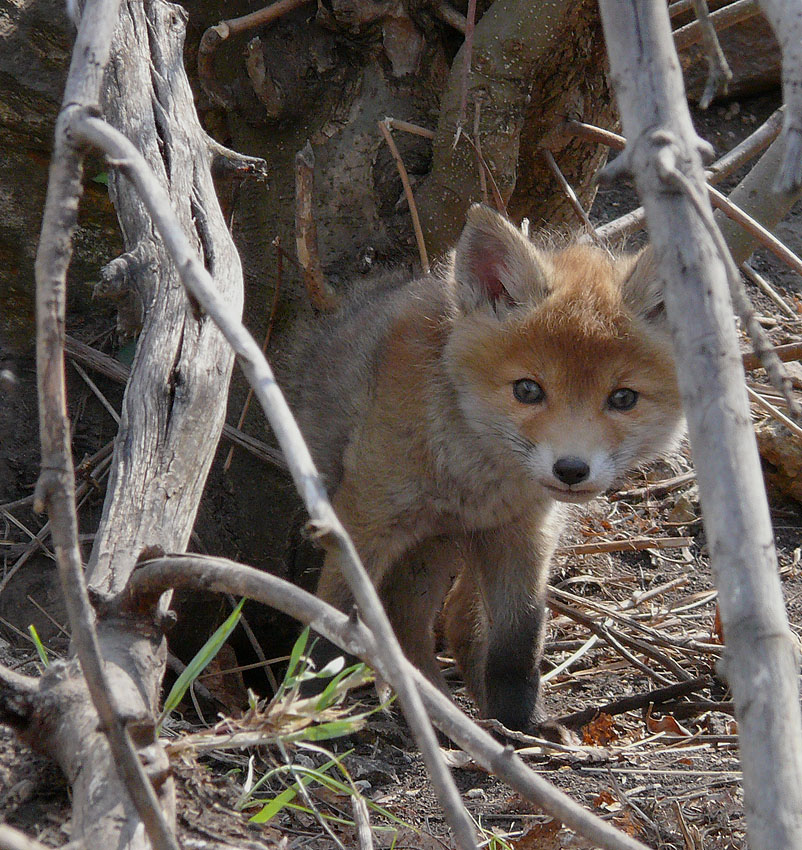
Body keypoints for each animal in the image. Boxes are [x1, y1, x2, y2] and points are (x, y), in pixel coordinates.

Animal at [288, 204, 680, 728]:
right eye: (528, 389)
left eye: (622, 399)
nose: (571, 469)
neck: (475, 478)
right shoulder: (364, 520)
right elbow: (330, 622)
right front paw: (306, 706)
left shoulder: (525, 532)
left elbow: (518, 644)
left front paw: (518, 725)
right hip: (426, 544)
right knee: (412, 623)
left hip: (453, 547)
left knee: (449, 622)